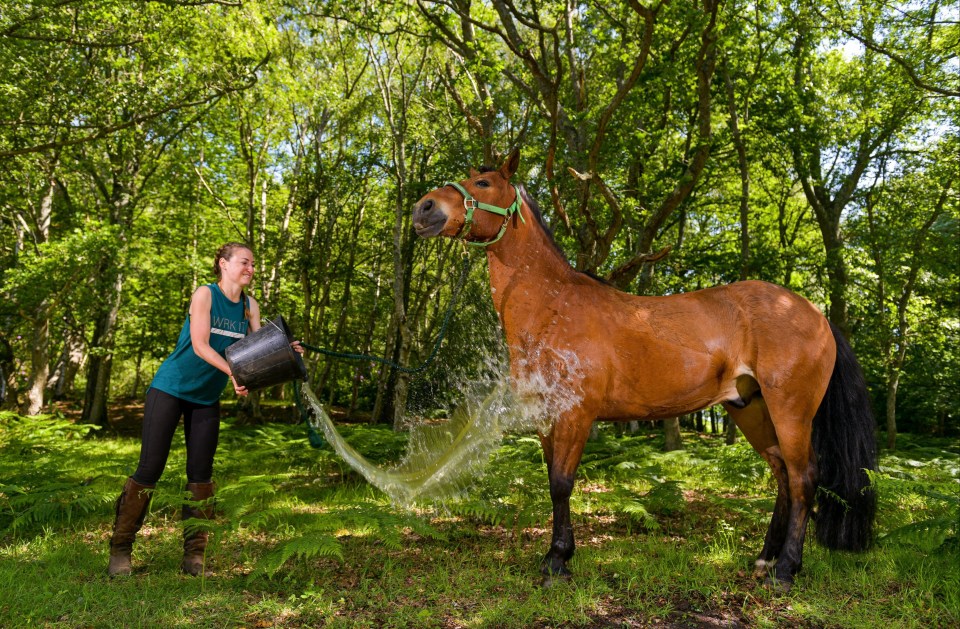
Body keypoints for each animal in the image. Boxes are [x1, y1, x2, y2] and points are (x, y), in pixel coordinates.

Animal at [412, 148, 876, 588]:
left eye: (483, 183)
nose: (423, 208)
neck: (555, 305)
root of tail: (815, 314)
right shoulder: (546, 416)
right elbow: (552, 482)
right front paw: (555, 557)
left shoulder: (576, 414)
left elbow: (562, 482)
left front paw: (558, 562)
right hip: (751, 410)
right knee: (782, 476)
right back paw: (764, 561)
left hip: (790, 411)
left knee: (803, 478)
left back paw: (786, 570)